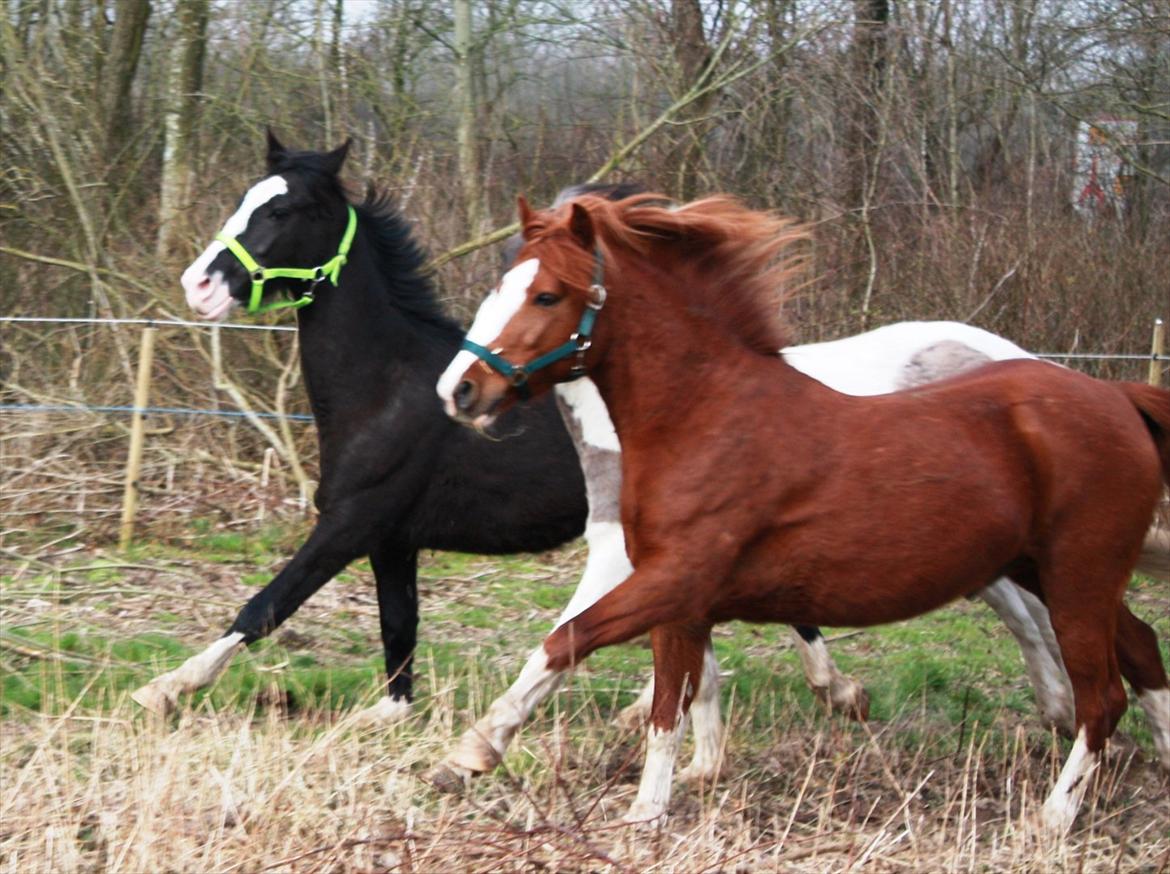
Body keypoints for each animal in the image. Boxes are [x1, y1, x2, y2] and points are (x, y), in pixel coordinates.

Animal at [439, 195, 1170, 837]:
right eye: (498, 285)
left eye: (546, 295)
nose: (462, 390)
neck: (702, 417)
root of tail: (1118, 397)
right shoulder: (681, 599)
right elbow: (671, 700)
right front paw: (649, 802)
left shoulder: (672, 580)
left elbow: (573, 641)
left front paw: (477, 753)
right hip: (1055, 573)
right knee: (1140, 648)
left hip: (1078, 576)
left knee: (1102, 696)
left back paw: (1052, 817)